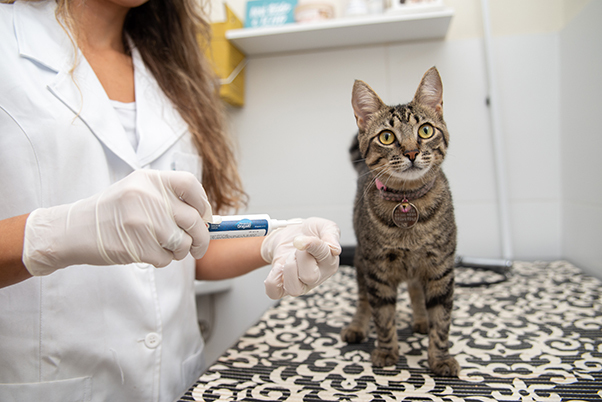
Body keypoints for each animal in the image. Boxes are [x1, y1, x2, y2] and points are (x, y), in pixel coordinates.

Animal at [340, 66, 458, 376]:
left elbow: (441, 320)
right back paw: (357, 326)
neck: (408, 201)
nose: (411, 152)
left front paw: (440, 357)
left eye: (425, 130)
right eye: (386, 137)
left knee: (416, 290)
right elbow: (383, 315)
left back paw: (420, 319)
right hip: (360, 262)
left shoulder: (441, 268)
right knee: (363, 300)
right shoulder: (377, 271)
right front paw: (386, 351)